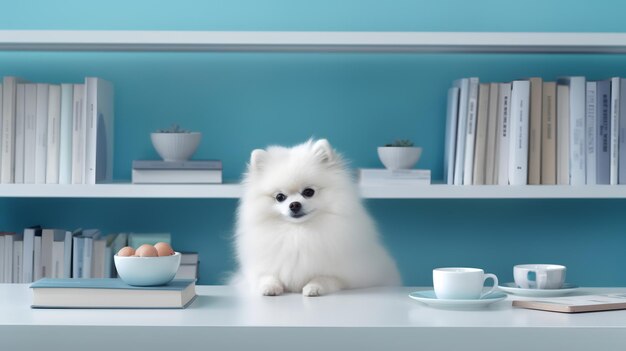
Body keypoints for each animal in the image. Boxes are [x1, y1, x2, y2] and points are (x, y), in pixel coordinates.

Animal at [233, 140, 400, 296]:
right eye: (280, 197)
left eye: (309, 192)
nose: (294, 205)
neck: (298, 233)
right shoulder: (259, 269)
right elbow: (266, 276)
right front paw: (270, 287)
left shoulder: (352, 276)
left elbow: (326, 278)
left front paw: (314, 287)